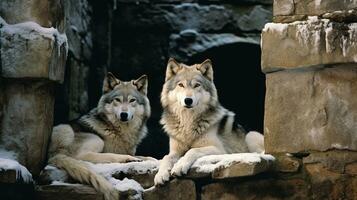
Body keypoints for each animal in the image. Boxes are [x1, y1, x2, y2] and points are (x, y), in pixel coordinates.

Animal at [47, 72, 150, 200]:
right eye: (117, 100)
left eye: (132, 100)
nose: (124, 114)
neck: (120, 131)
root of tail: (53, 156)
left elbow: (148, 157)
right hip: (79, 133)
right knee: (81, 157)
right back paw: (128, 159)